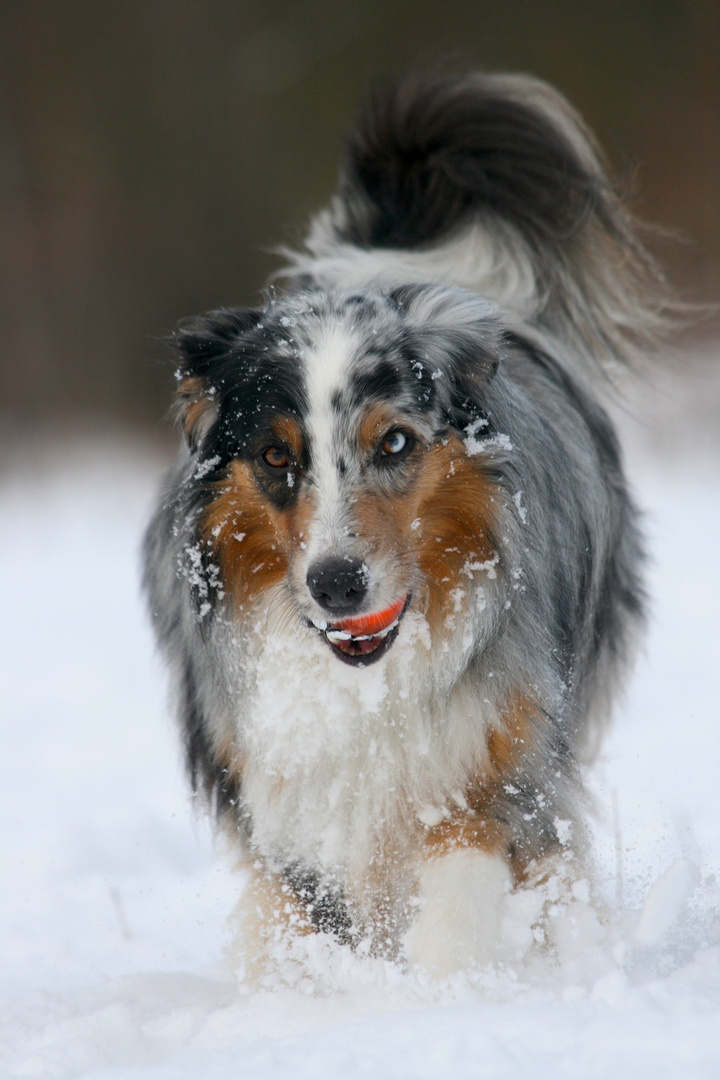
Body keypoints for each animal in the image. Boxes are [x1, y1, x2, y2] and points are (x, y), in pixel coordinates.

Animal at [143, 69, 669, 980]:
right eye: (276, 456)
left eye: (393, 441)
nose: (335, 584)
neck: (365, 682)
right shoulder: (280, 790)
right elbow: (306, 911)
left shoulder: (499, 751)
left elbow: (466, 865)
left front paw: (443, 985)